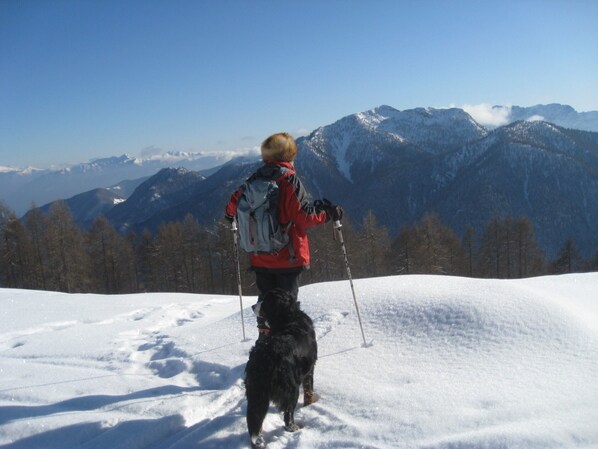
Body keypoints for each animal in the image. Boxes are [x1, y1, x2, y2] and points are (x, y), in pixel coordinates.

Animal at [245, 288, 318, 448]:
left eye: (265, 301)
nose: (252, 306)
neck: (288, 317)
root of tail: (264, 356)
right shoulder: (309, 370)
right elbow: (309, 392)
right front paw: (309, 405)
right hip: (292, 388)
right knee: (288, 418)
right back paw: (295, 428)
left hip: (256, 393)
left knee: (255, 422)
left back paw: (259, 442)